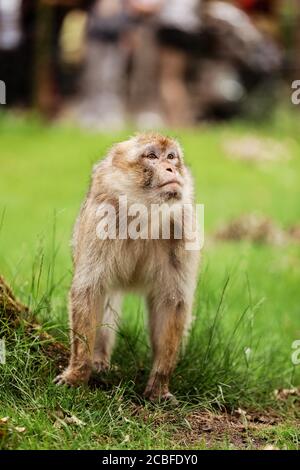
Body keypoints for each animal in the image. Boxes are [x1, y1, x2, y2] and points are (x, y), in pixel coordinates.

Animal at [54, 132, 200, 400]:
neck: (144, 215)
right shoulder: (101, 218)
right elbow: (88, 291)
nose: (171, 168)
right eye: (152, 156)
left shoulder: (183, 227)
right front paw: (78, 373)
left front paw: (159, 386)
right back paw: (98, 359)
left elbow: (172, 301)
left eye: (171, 156)